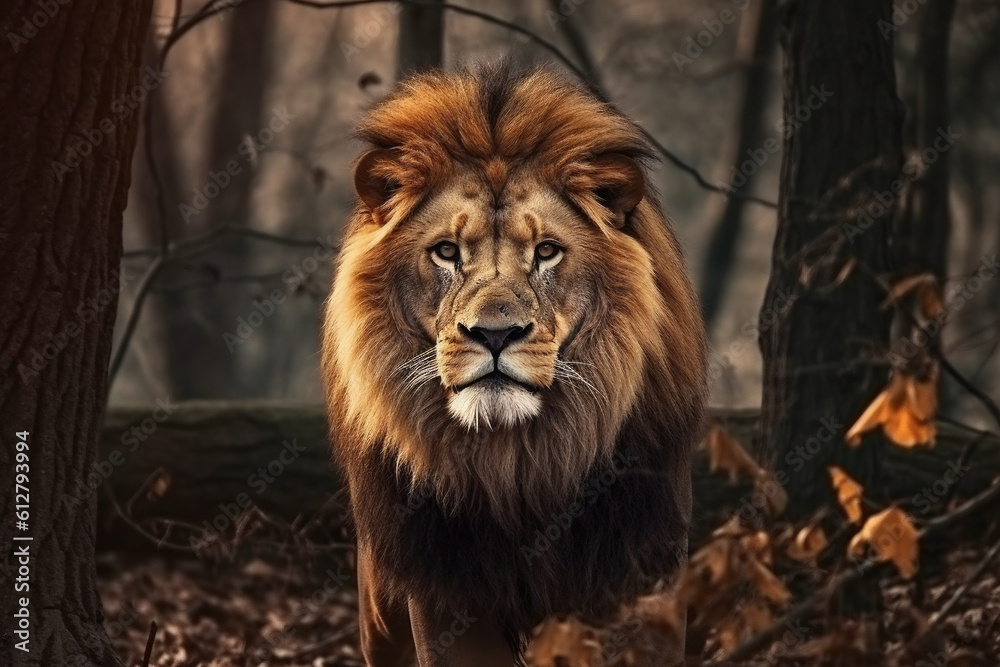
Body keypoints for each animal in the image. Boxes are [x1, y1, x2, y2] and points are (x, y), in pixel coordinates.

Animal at [321, 60, 707, 667]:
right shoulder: (449, 597)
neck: (519, 466)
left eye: (546, 251)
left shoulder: (641, 576)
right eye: (447, 252)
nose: (495, 334)